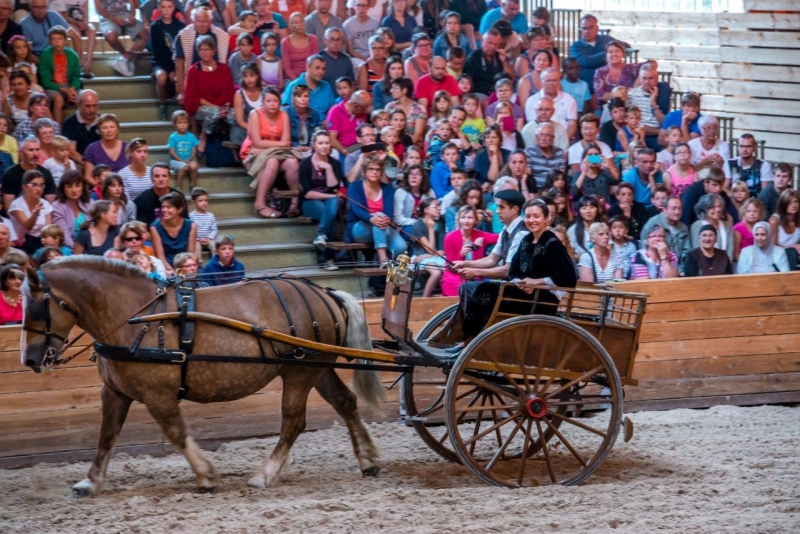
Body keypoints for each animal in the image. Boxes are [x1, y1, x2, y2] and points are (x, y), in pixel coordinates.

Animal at [21, 258, 384, 500]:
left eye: (35, 307)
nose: (29, 359)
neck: (134, 317)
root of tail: (324, 293)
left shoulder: (158, 395)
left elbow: (177, 433)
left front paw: (206, 476)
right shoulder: (114, 392)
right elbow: (106, 436)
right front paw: (91, 481)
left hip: (299, 372)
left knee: (294, 421)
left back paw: (265, 474)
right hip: (317, 368)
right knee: (346, 403)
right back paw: (368, 459)